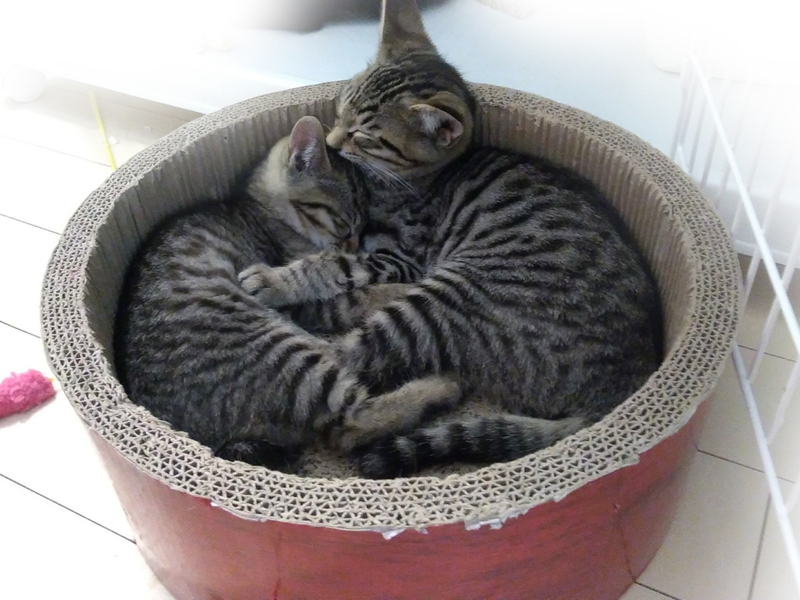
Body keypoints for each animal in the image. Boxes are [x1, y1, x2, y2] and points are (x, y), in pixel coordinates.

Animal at [114, 115, 460, 471]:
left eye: (363, 226)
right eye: (344, 223)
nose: (353, 247)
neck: (265, 211)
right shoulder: (307, 302)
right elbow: (358, 293)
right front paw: (401, 287)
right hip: (286, 356)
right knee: (352, 422)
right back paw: (441, 387)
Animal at [240, 0, 664, 478]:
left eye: (365, 134)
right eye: (342, 106)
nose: (331, 141)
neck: (408, 181)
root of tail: (617, 391)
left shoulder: (401, 256)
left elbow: (334, 264)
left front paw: (279, 280)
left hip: (445, 296)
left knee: (341, 367)